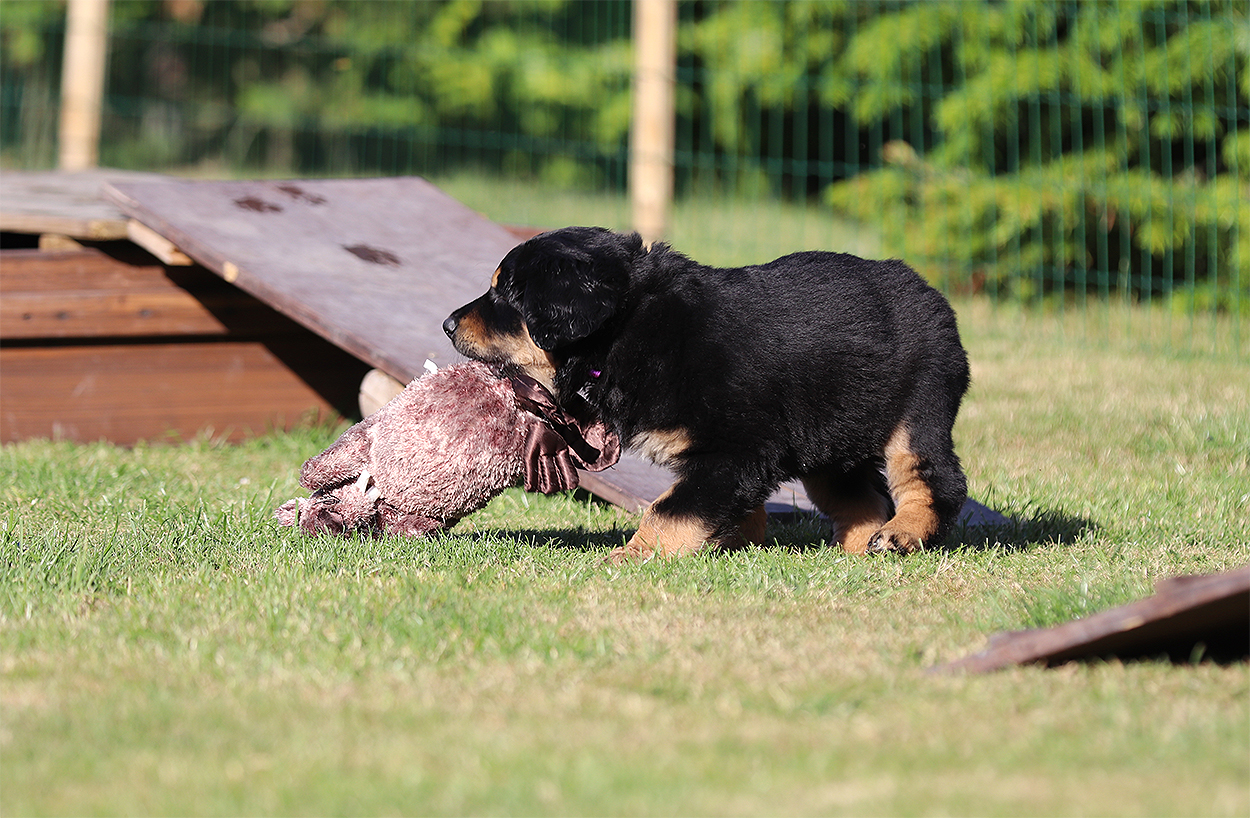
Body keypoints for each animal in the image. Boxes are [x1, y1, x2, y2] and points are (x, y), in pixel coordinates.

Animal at [444, 226, 970, 563]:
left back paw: (899, 536)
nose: (447, 324)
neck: (627, 330)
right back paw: (856, 552)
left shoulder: (733, 452)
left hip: (917, 409)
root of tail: (931, 294)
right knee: (861, 498)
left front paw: (629, 557)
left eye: (506, 295)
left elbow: (670, 509)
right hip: (830, 436)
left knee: (934, 481)